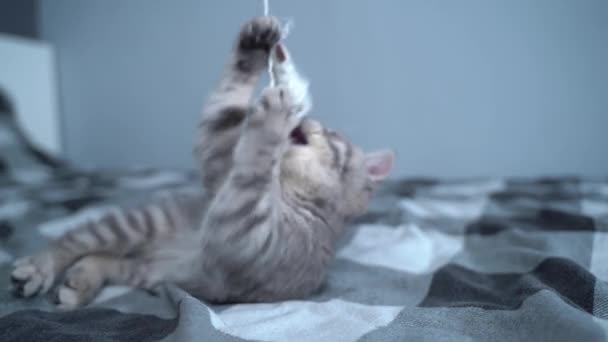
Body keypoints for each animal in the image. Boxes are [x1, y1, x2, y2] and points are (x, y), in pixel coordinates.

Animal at [10, 16, 394, 310]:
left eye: (331, 133)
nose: (307, 120)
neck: (284, 188)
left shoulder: (250, 235)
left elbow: (253, 167)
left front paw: (277, 110)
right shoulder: (220, 167)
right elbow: (223, 115)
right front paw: (255, 45)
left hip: (145, 262)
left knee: (101, 256)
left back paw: (75, 280)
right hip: (143, 223)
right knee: (75, 242)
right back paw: (45, 267)